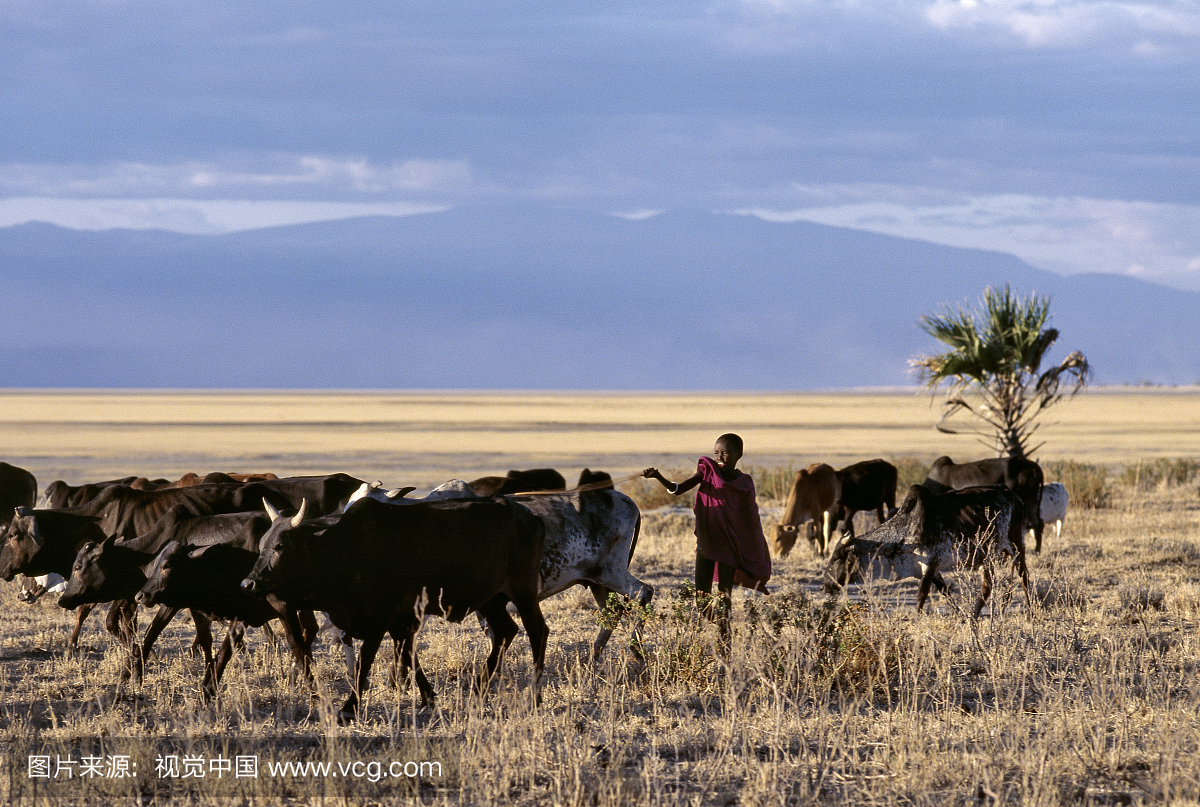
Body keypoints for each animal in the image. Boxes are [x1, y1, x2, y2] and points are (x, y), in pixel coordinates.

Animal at [242, 494, 549, 720]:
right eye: (262, 543)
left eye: (281, 546)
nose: (248, 583)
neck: (344, 547)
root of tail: (527, 516)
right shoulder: (400, 620)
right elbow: (409, 656)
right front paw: (430, 699)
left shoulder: (382, 619)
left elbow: (365, 662)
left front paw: (349, 709)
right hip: (491, 600)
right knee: (506, 632)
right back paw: (478, 689)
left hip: (522, 592)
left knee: (537, 632)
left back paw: (534, 696)